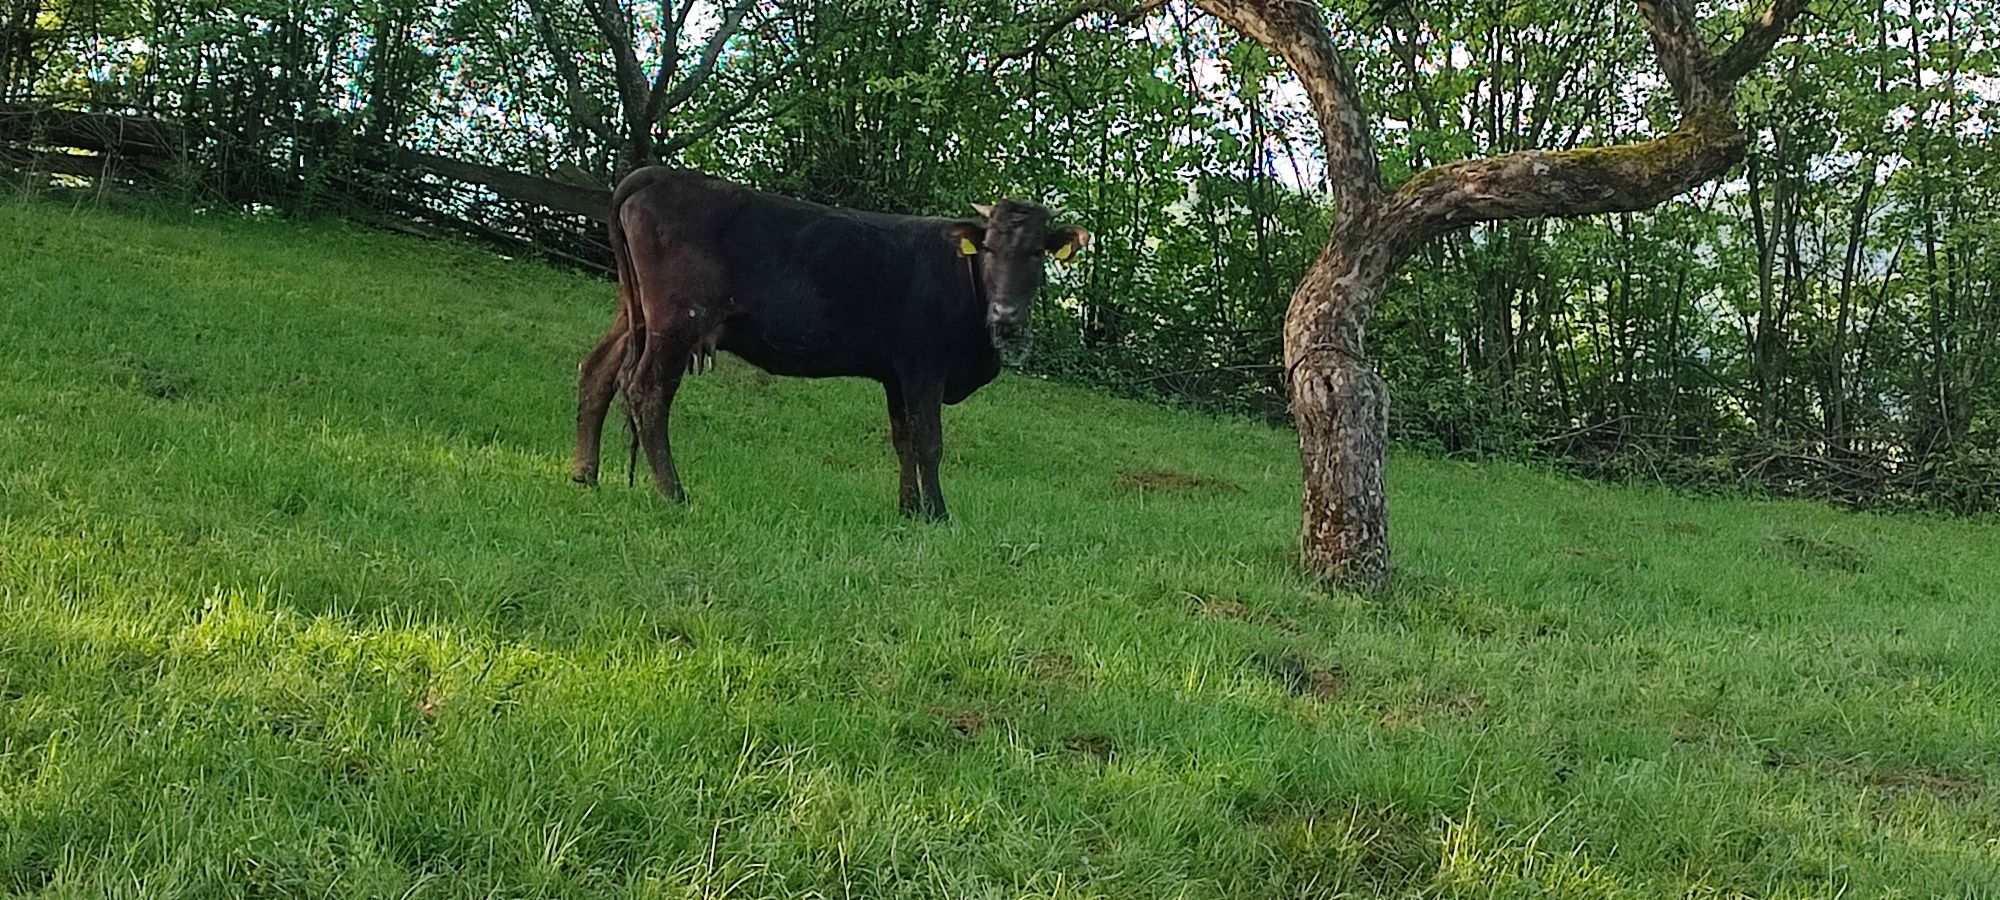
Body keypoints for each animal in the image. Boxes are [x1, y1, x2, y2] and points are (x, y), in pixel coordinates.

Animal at [564, 169, 1096, 520]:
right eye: (987, 249)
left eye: (1036, 253)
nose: (1006, 314)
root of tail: (655, 176)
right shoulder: (924, 365)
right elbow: (929, 441)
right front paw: (938, 514)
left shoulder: (896, 373)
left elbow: (903, 439)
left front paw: (908, 510)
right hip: (676, 323)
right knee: (648, 391)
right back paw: (673, 492)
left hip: (633, 313)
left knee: (597, 371)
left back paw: (584, 474)